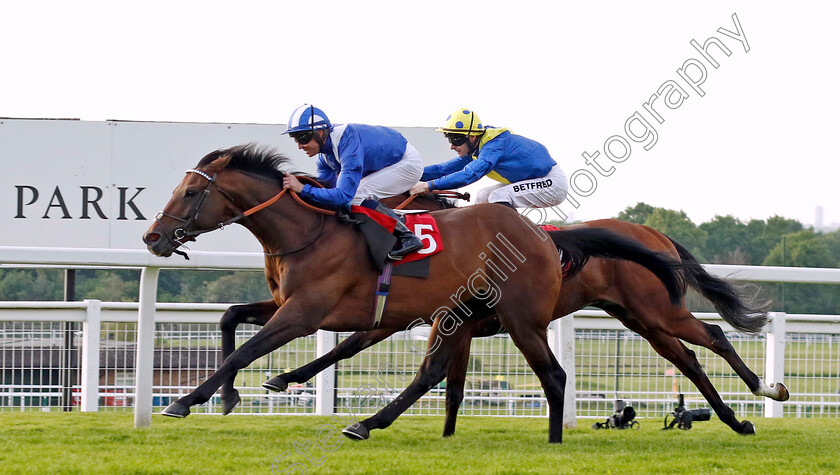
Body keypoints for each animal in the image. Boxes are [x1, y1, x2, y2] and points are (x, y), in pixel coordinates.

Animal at [143, 146, 684, 446]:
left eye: (190, 193)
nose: (153, 238)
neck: (307, 231)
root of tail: (543, 237)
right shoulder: (288, 305)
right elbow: (230, 319)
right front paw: (228, 395)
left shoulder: (307, 313)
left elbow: (251, 349)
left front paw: (186, 401)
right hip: (462, 314)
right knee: (435, 373)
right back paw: (365, 424)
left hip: (522, 319)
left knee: (553, 374)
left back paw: (553, 442)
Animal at [248, 192, 788, 440]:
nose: (387, 232)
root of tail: (653, 234)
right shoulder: (448, 322)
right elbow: (444, 380)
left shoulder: (416, 317)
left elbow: (382, 356)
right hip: (642, 319)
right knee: (690, 362)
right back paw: (737, 420)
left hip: (656, 311)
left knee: (714, 336)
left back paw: (767, 391)